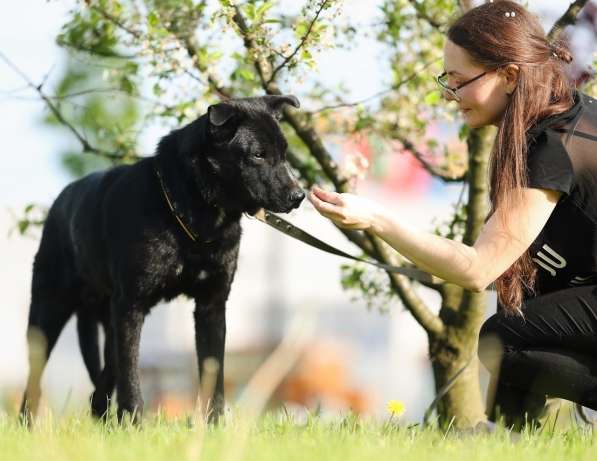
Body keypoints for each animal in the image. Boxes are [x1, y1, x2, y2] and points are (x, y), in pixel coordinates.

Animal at [21, 94, 304, 424]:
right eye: (258, 154)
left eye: (285, 153)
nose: (299, 196)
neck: (192, 210)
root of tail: (61, 200)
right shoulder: (131, 305)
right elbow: (130, 371)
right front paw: (133, 421)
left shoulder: (211, 306)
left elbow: (213, 371)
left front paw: (214, 425)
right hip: (48, 312)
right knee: (37, 375)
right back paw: (29, 421)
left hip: (105, 315)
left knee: (106, 369)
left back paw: (100, 411)